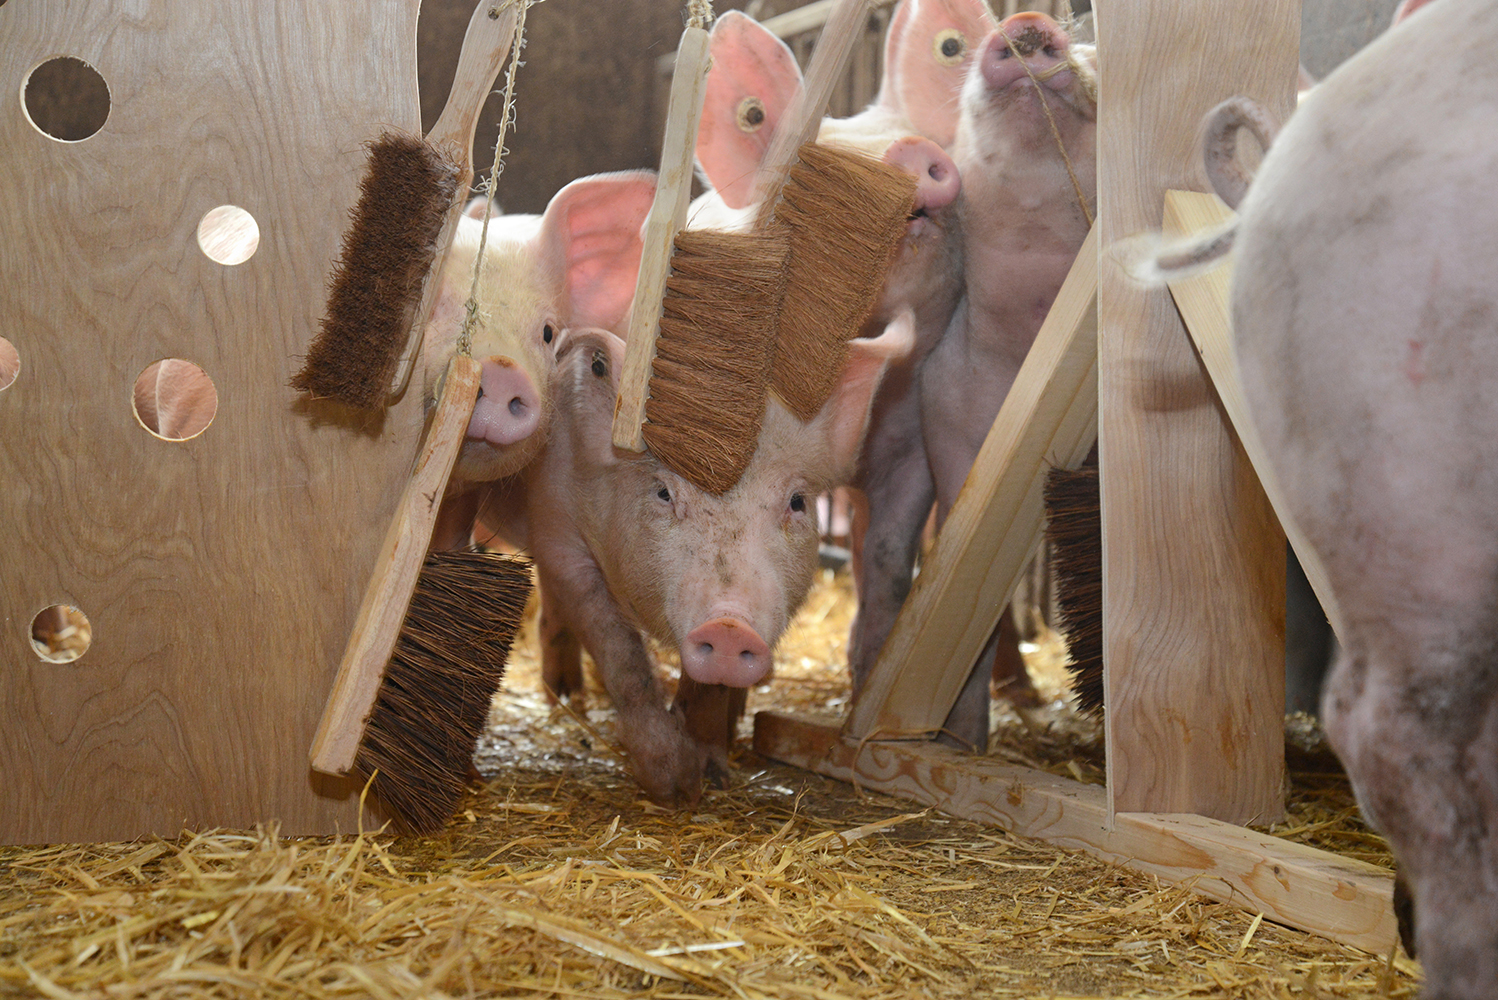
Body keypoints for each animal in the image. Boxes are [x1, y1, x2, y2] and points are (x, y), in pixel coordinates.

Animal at [481, 320, 911, 804]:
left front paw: (713, 777)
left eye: (798, 502)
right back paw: (564, 700)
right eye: (664, 493)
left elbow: (708, 686)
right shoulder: (557, 529)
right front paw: (673, 786)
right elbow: (620, 652)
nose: (729, 626)